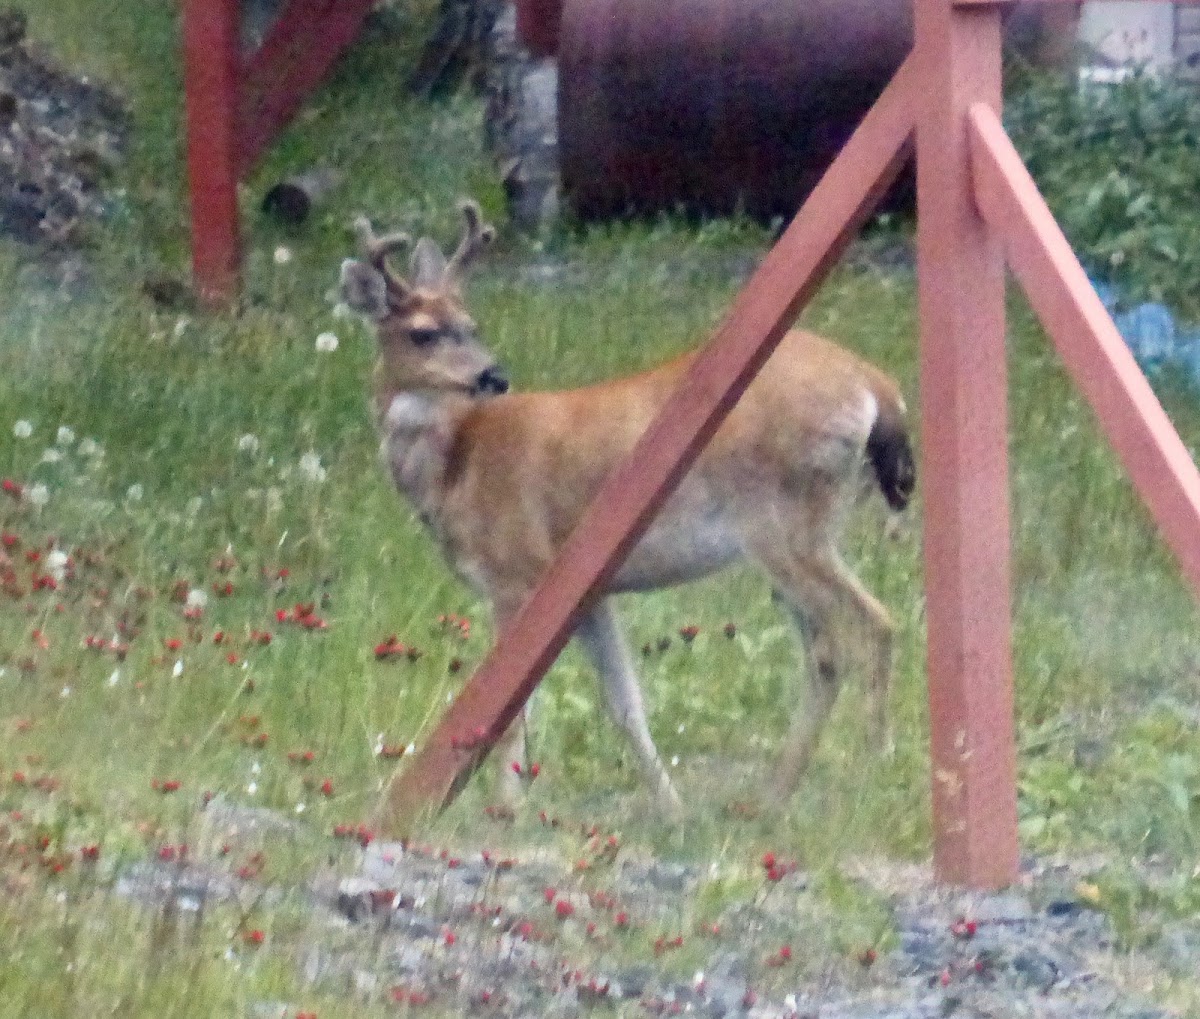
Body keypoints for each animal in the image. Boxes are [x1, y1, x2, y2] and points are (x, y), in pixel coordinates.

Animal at [340, 202, 916, 816]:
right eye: (423, 333)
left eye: (471, 325)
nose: (493, 375)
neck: (458, 463)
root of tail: (876, 387)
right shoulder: (589, 595)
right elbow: (624, 703)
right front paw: (670, 807)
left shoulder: (517, 574)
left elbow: (514, 704)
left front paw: (505, 809)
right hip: (808, 529)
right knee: (838, 640)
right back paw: (777, 792)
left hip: (784, 521)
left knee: (860, 631)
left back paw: (862, 765)